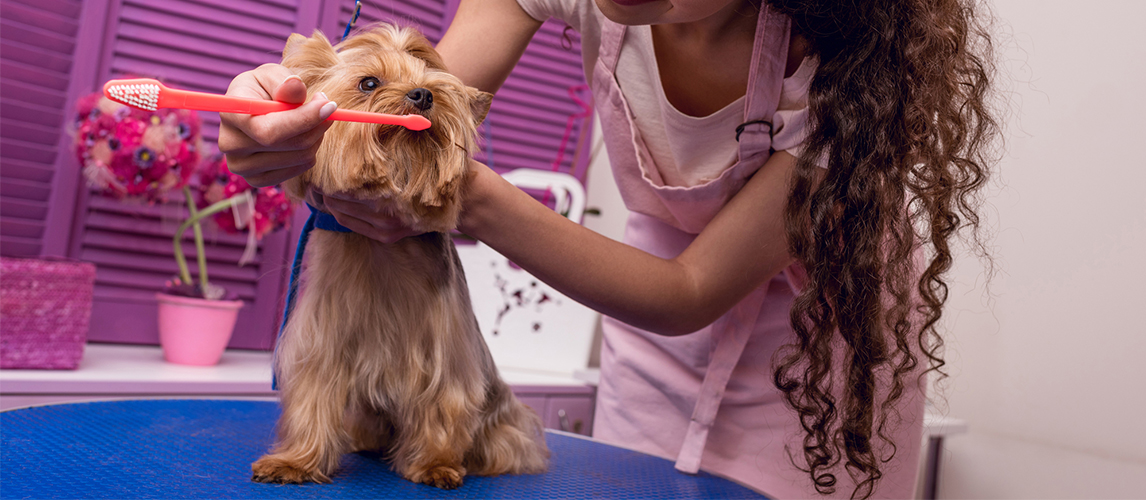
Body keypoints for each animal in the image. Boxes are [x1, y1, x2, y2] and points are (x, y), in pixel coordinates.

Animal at [255, 24, 550, 488]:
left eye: (434, 88)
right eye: (368, 83)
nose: (422, 95)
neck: (380, 250)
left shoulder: (446, 357)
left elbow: (444, 404)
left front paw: (435, 465)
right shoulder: (322, 345)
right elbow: (311, 400)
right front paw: (295, 461)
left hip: (501, 419)